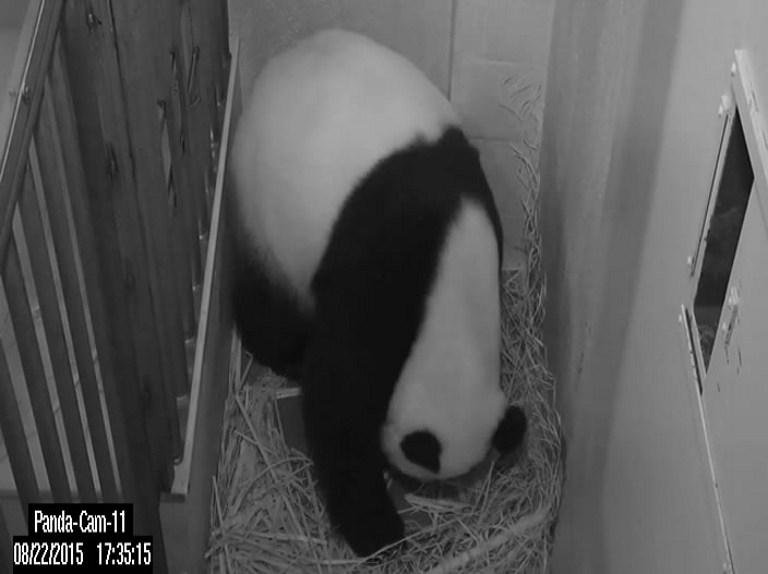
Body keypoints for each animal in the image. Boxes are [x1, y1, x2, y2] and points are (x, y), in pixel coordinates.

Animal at [229, 29, 527, 557]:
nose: (404, 482)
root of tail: (281, 60)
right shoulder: (381, 275)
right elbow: (338, 393)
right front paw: (377, 530)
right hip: (262, 205)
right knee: (265, 296)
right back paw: (282, 353)